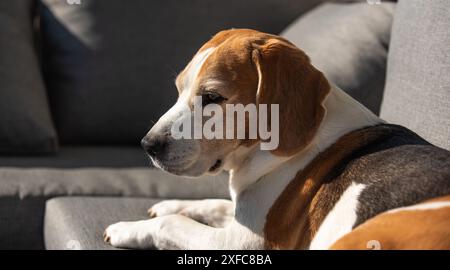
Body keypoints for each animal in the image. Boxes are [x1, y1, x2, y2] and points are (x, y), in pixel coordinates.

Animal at [103, 28, 450, 250]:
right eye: (178, 89)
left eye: (212, 97)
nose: (148, 145)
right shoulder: (246, 212)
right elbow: (214, 204)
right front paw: (172, 204)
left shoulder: (241, 241)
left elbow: (171, 225)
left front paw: (127, 228)